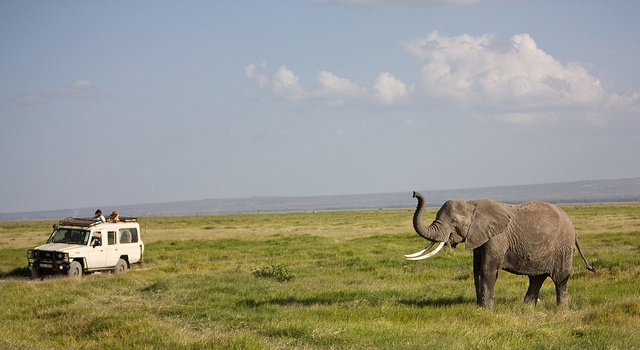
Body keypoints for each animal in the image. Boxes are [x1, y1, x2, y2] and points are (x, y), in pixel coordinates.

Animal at [408, 191, 592, 308]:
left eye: (454, 221)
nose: (414, 193)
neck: (472, 204)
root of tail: (573, 228)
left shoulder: (497, 238)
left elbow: (488, 269)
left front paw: (487, 310)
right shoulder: (479, 237)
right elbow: (477, 269)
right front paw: (479, 308)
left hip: (562, 247)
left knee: (560, 279)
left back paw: (561, 310)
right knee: (536, 278)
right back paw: (526, 309)